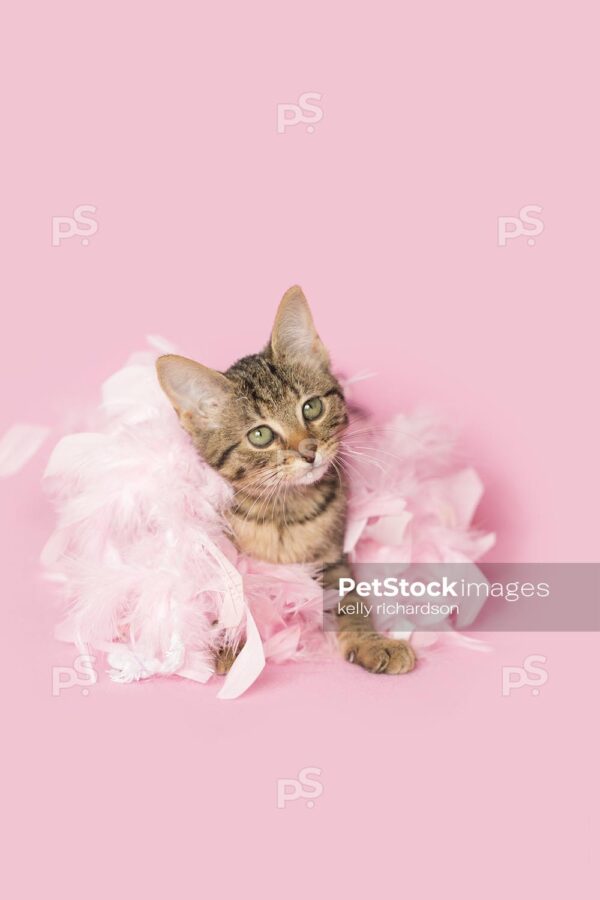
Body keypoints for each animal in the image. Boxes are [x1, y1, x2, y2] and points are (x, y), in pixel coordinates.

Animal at [157, 284, 414, 676]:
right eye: (260, 435)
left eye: (311, 407)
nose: (309, 451)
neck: (284, 510)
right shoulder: (215, 552)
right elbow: (220, 591)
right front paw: (226, 641)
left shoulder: (333, 558)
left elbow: (350, 599)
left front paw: (372, 642)